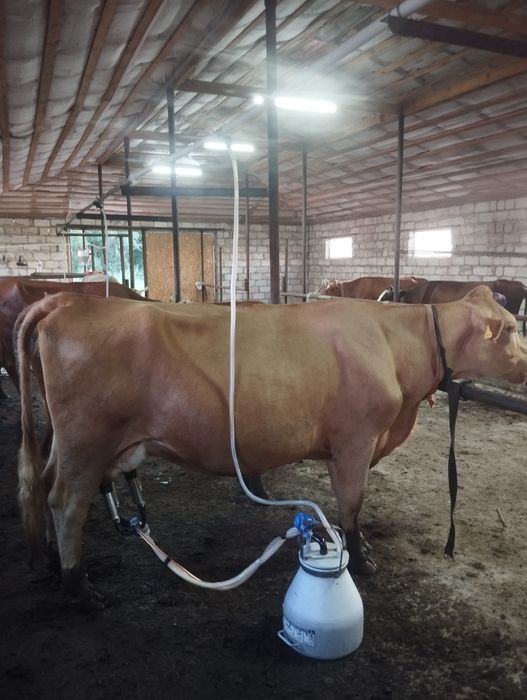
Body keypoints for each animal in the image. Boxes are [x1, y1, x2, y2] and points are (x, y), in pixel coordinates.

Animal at [16, 287, 527, 603]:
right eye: (513, 328)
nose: (526, 365)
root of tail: (68, 299)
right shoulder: (357, 439)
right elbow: (352, 504)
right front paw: (361, 560)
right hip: (87, 439)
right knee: (65, 502)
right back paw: (78, 586)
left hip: (70, 441)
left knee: (42, 486)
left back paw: (48, 559)